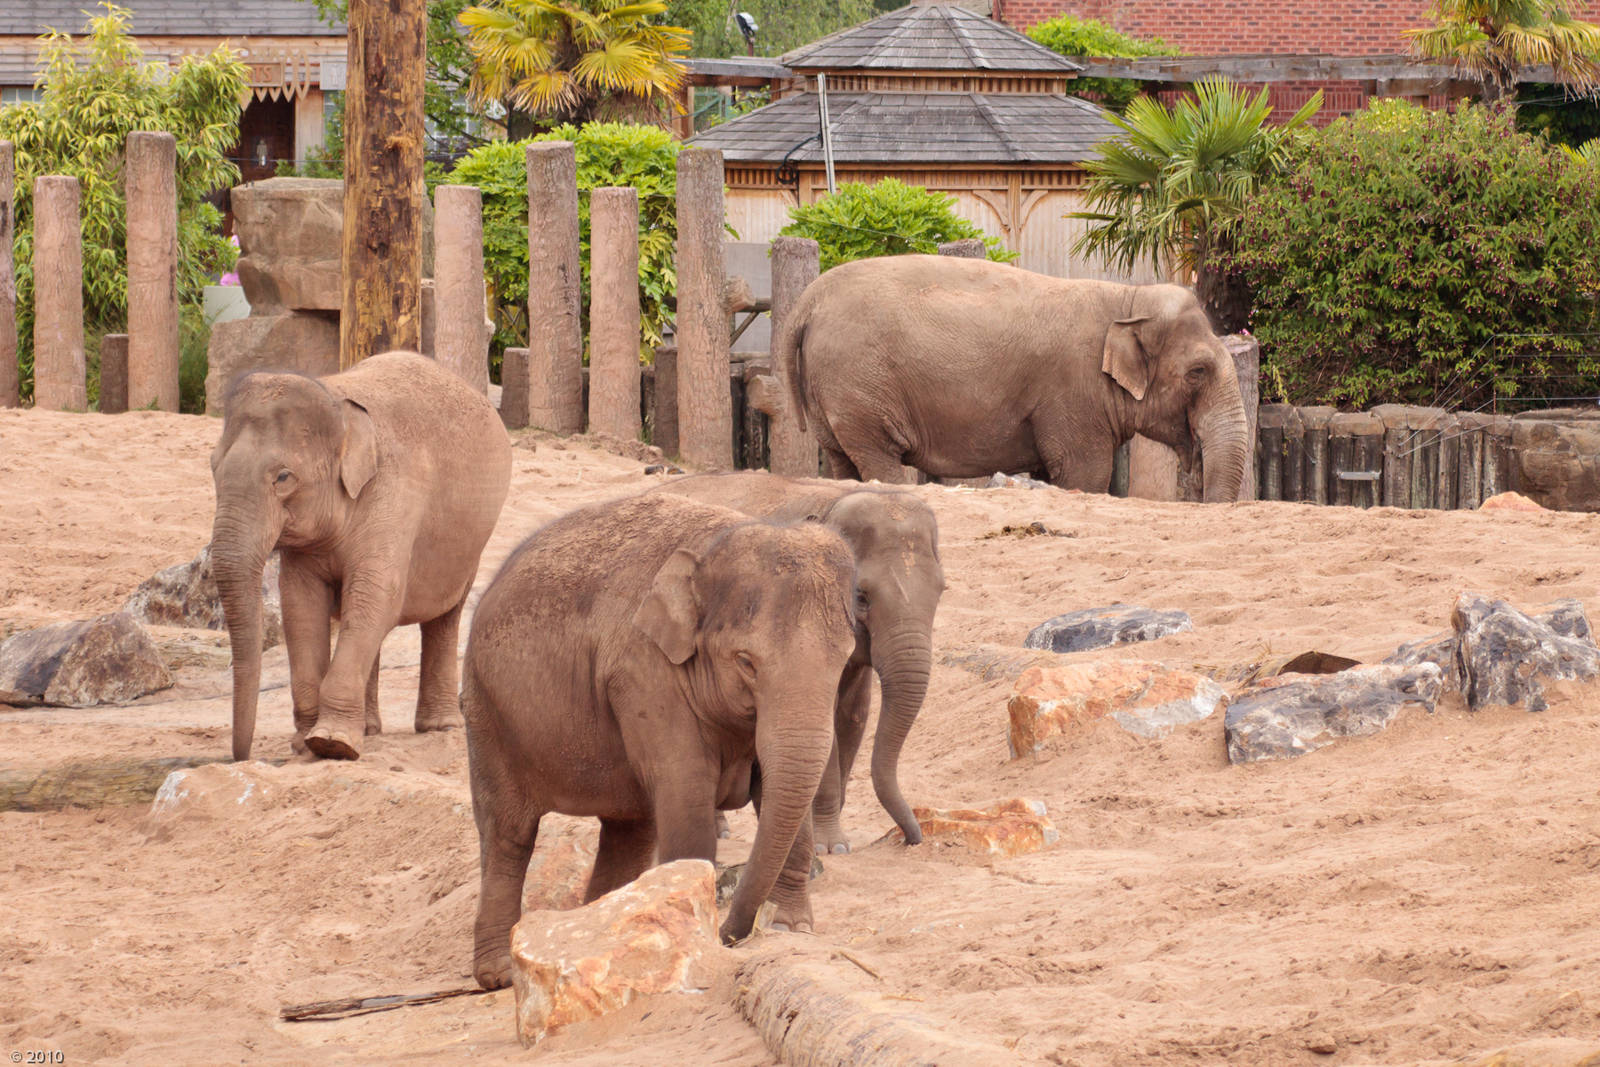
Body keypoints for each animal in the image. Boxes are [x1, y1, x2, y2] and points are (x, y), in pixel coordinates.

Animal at [210, 351, 512, 762]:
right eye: (212, 466)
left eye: (284, 478)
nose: (240, 757)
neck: (336, 400)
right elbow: (302, 605)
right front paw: (305, 744)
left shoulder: (394, 495)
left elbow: (376, 595)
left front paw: (332, 743)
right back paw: (369, 729)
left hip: (469, 544)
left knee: (443, 616)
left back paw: (439, 727)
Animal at [462, 493, 858, 988]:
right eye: (746, 662)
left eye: (844, 659)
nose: (732, 935)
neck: (712, 546)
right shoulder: (643, 673)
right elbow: (687, 799)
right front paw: (697, 929)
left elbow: (777, 791)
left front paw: (790, 928)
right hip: (487, 713)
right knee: (508, 835)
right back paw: (499, 974)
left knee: (628, 832)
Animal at [656, 472, 943, 853]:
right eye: (861, 596)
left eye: (941, 590)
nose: (913, 839)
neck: (835, 501)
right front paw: (830, 847)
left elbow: (854, 716)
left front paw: (829, 840)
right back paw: (719, 830)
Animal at [777, 254, 1249, 502]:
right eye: (1198, 372)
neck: (1127, 299)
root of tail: (805, 303)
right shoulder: (1072, 393)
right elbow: (1085, 475)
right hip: (860, 383)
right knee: (880, 460)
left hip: (831, 389)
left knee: (841, 460)